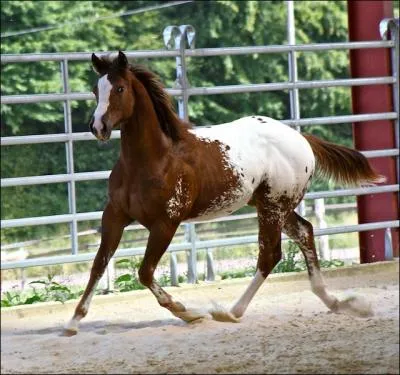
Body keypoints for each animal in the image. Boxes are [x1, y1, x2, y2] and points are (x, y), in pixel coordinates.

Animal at [63, 51, 384, 336]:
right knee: (304, 232)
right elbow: (98, 266)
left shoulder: (165, 224)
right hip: (273, 206)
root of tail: (299, 137)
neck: (154, 159)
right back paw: (338, 302)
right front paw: (73, 322)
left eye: (119, 88)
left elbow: (145, 272)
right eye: (95, 89)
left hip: (272, 207)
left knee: (270, 255)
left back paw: (230, 312)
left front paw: (188, 312)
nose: (98, 126)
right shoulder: (115, 216)